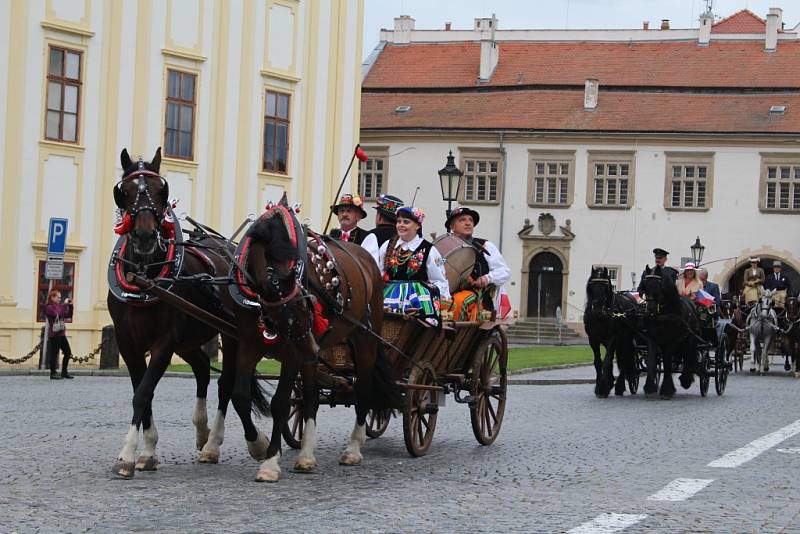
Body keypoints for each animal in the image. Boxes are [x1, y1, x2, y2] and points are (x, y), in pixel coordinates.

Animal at [106, 149, 270, 480]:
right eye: (124, 192)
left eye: (161, 190)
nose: (145, 236)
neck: (144, 277)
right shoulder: (129, 343)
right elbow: (142, 393)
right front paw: (147, 450)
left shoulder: (164, 343)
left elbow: (143, 393)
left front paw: (129, 454)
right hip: (190, 338)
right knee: (204, 368)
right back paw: (203, 431)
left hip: (231, 335)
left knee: (227, 383)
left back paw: (224, 442)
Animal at [220, 199, 396, 484]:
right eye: (297, 309)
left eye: (308, 305)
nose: (311, 348)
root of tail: (366, 260)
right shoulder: (248, 344)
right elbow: (241, 396)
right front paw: (258, 445)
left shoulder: (292, 353)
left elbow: (280, 403)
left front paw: (270, 462)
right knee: (311, 397)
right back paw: (306, 456)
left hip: (365, 337)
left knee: (363, 390)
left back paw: (353, 449)